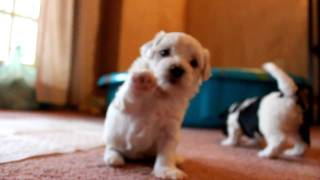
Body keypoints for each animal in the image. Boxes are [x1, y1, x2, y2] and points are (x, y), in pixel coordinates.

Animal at [104, 31, 211, 179]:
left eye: (194, 63)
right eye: (164, 52)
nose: (177, 69)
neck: (162, 93)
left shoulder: (170, 131)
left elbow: (166, 154)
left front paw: (167, 170)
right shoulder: (125, 106)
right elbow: (130, 97)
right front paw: (143, 79)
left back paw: (177, 158)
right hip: (112, 135)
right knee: (111, 147)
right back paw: (113, 157)